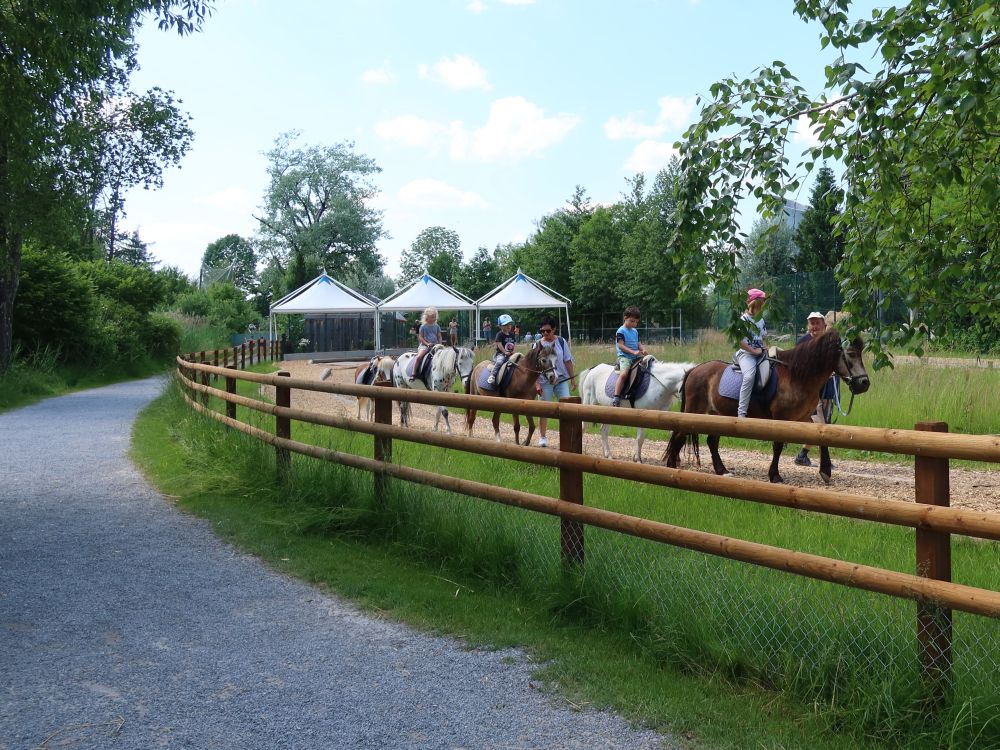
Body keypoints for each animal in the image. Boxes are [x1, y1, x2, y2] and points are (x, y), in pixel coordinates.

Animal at [664, 330, 868, 484]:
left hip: (717, 415)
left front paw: (825, 470)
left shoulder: (804, 417)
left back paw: (722, 470)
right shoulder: (781, 418)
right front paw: (775, 475)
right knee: (679, 435)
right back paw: (671, 466)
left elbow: (821, 434)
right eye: (851, 354)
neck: (796, 375)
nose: (864, 383)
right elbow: (777, 446)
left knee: (711, 442)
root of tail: (694, 370)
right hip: (694, 411)